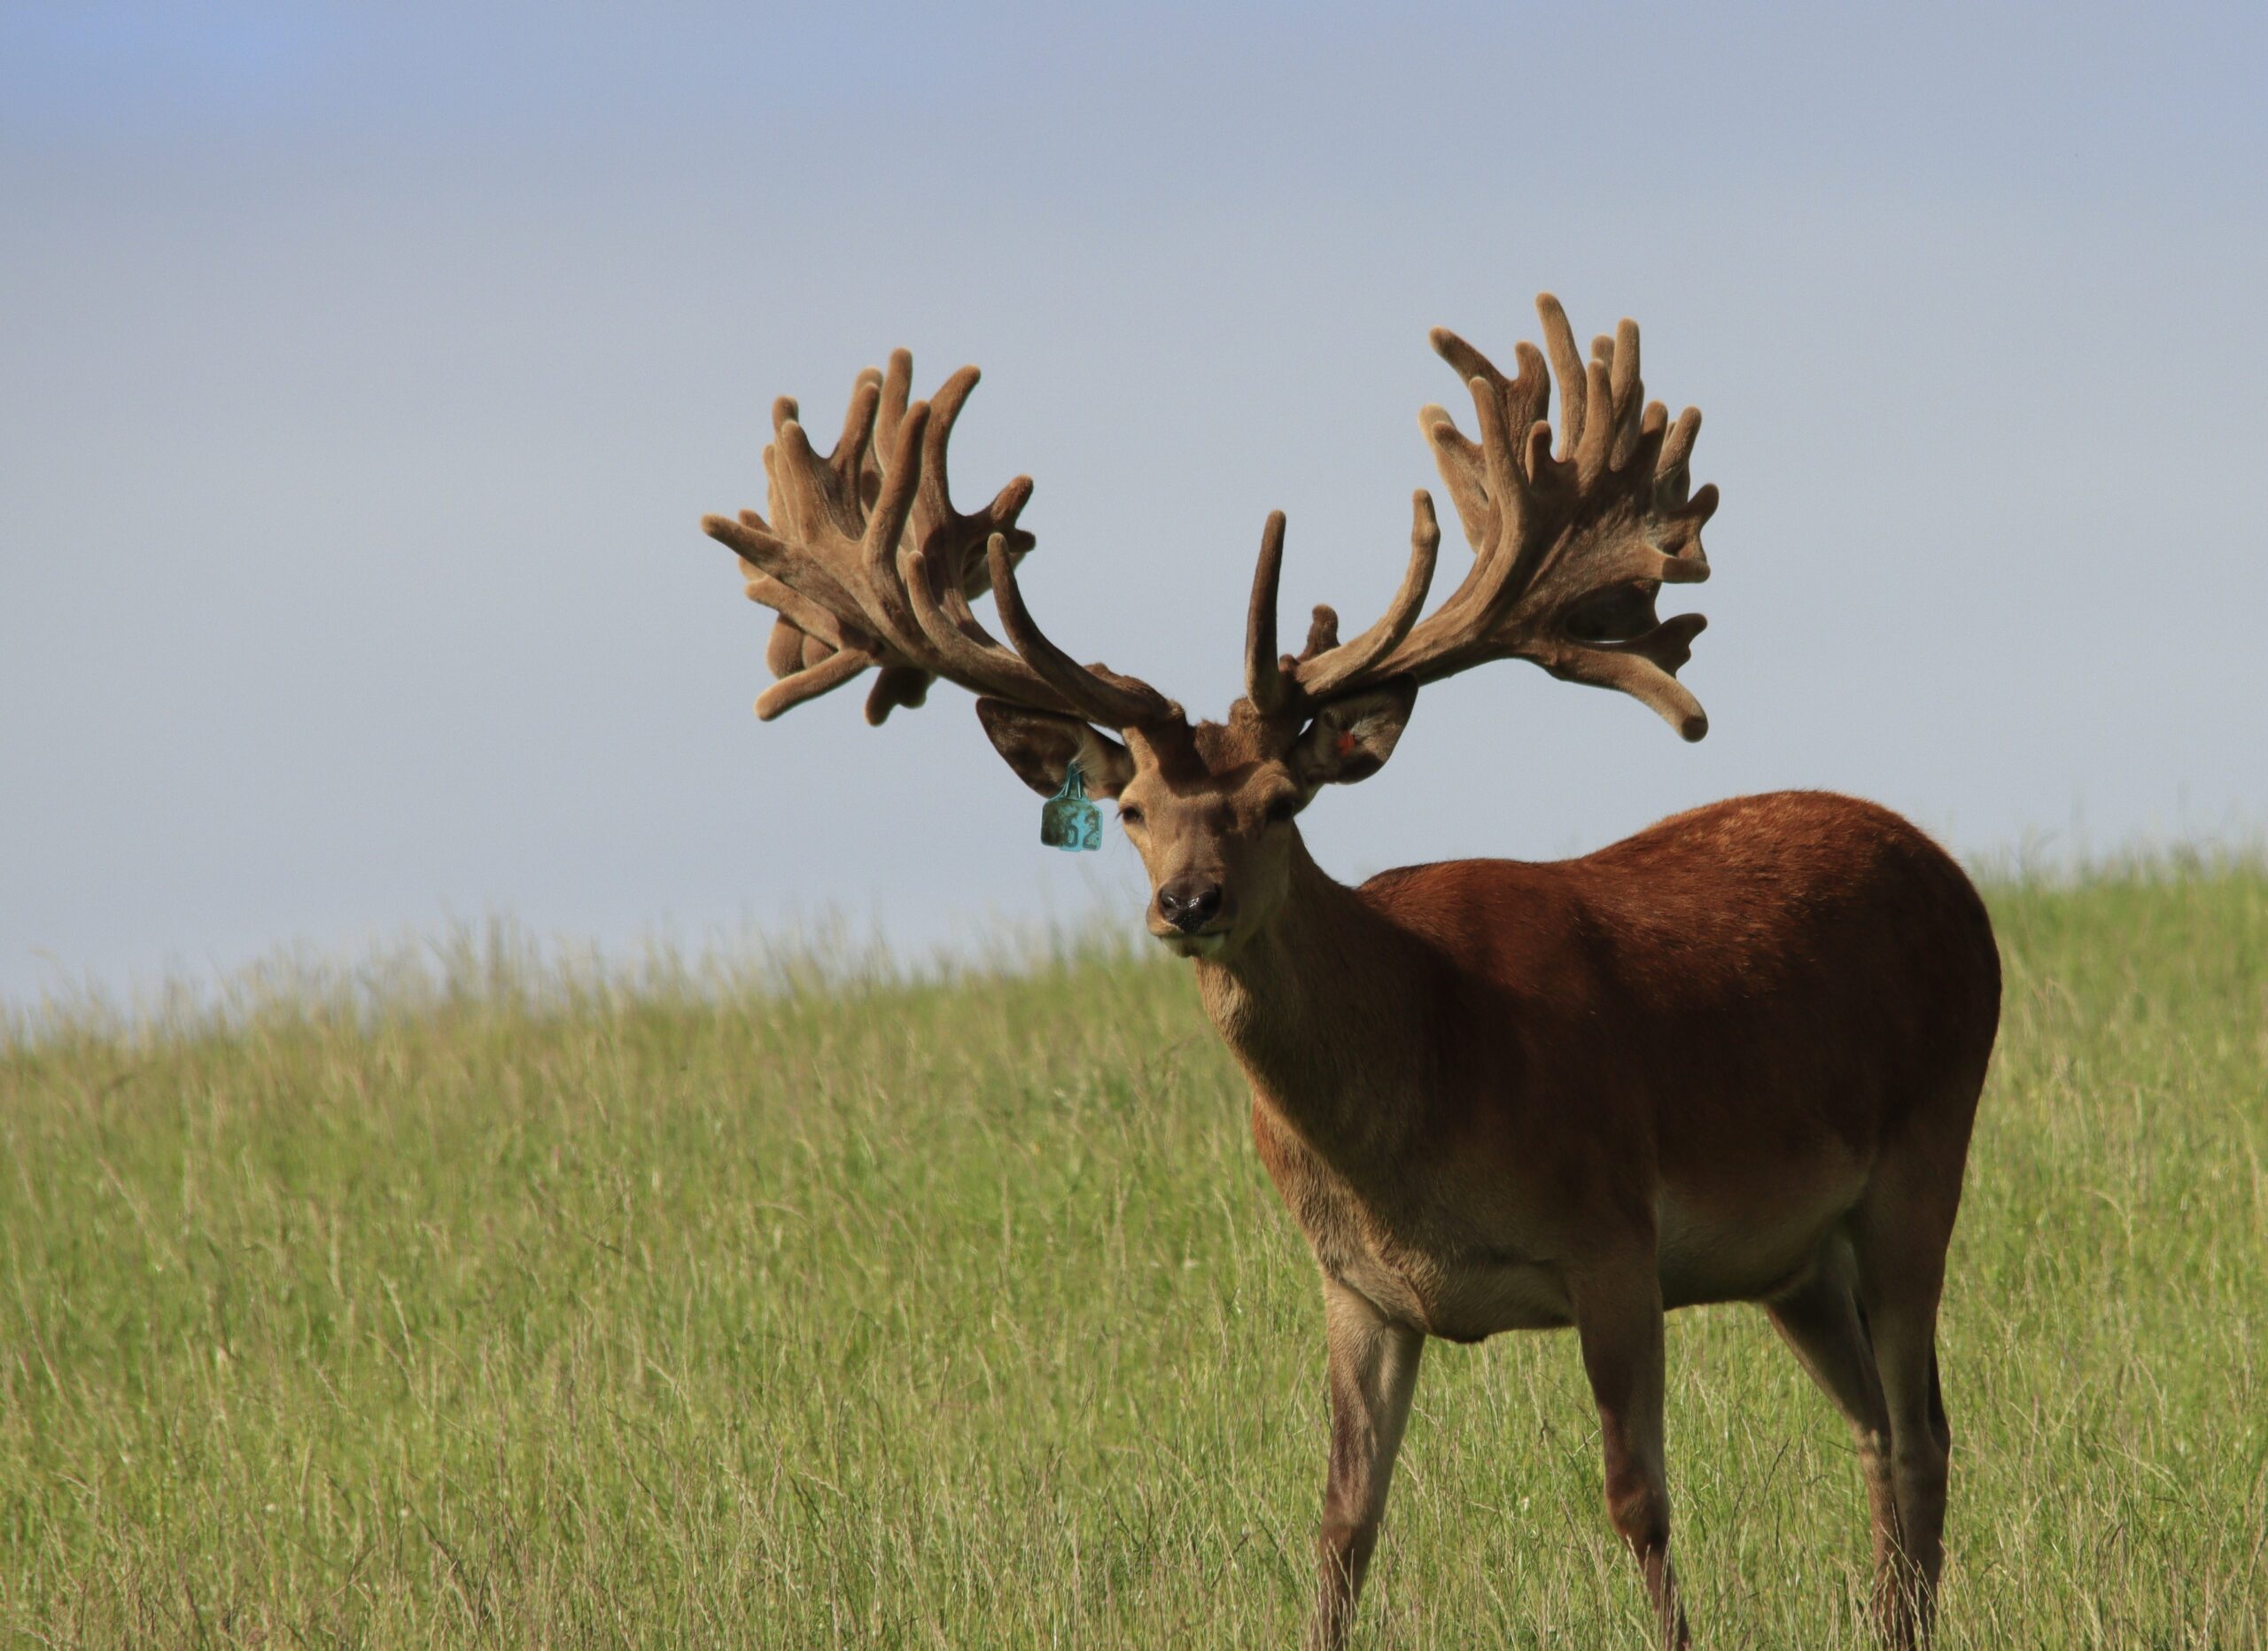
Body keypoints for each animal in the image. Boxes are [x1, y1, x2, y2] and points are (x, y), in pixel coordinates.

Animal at [696, 295, 2001, 1650]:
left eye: (1280, 801)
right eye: (1137, 809)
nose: (1188, 903)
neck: (1426, 1085)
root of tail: (1948, 875)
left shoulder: (1613, 1228)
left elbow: (1636, 1497)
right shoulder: (1354, 1286)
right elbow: (1341, 1524)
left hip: (1926, 1146)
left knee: (1923, 1425)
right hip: (1792, 1256)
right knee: (1878, 1424)